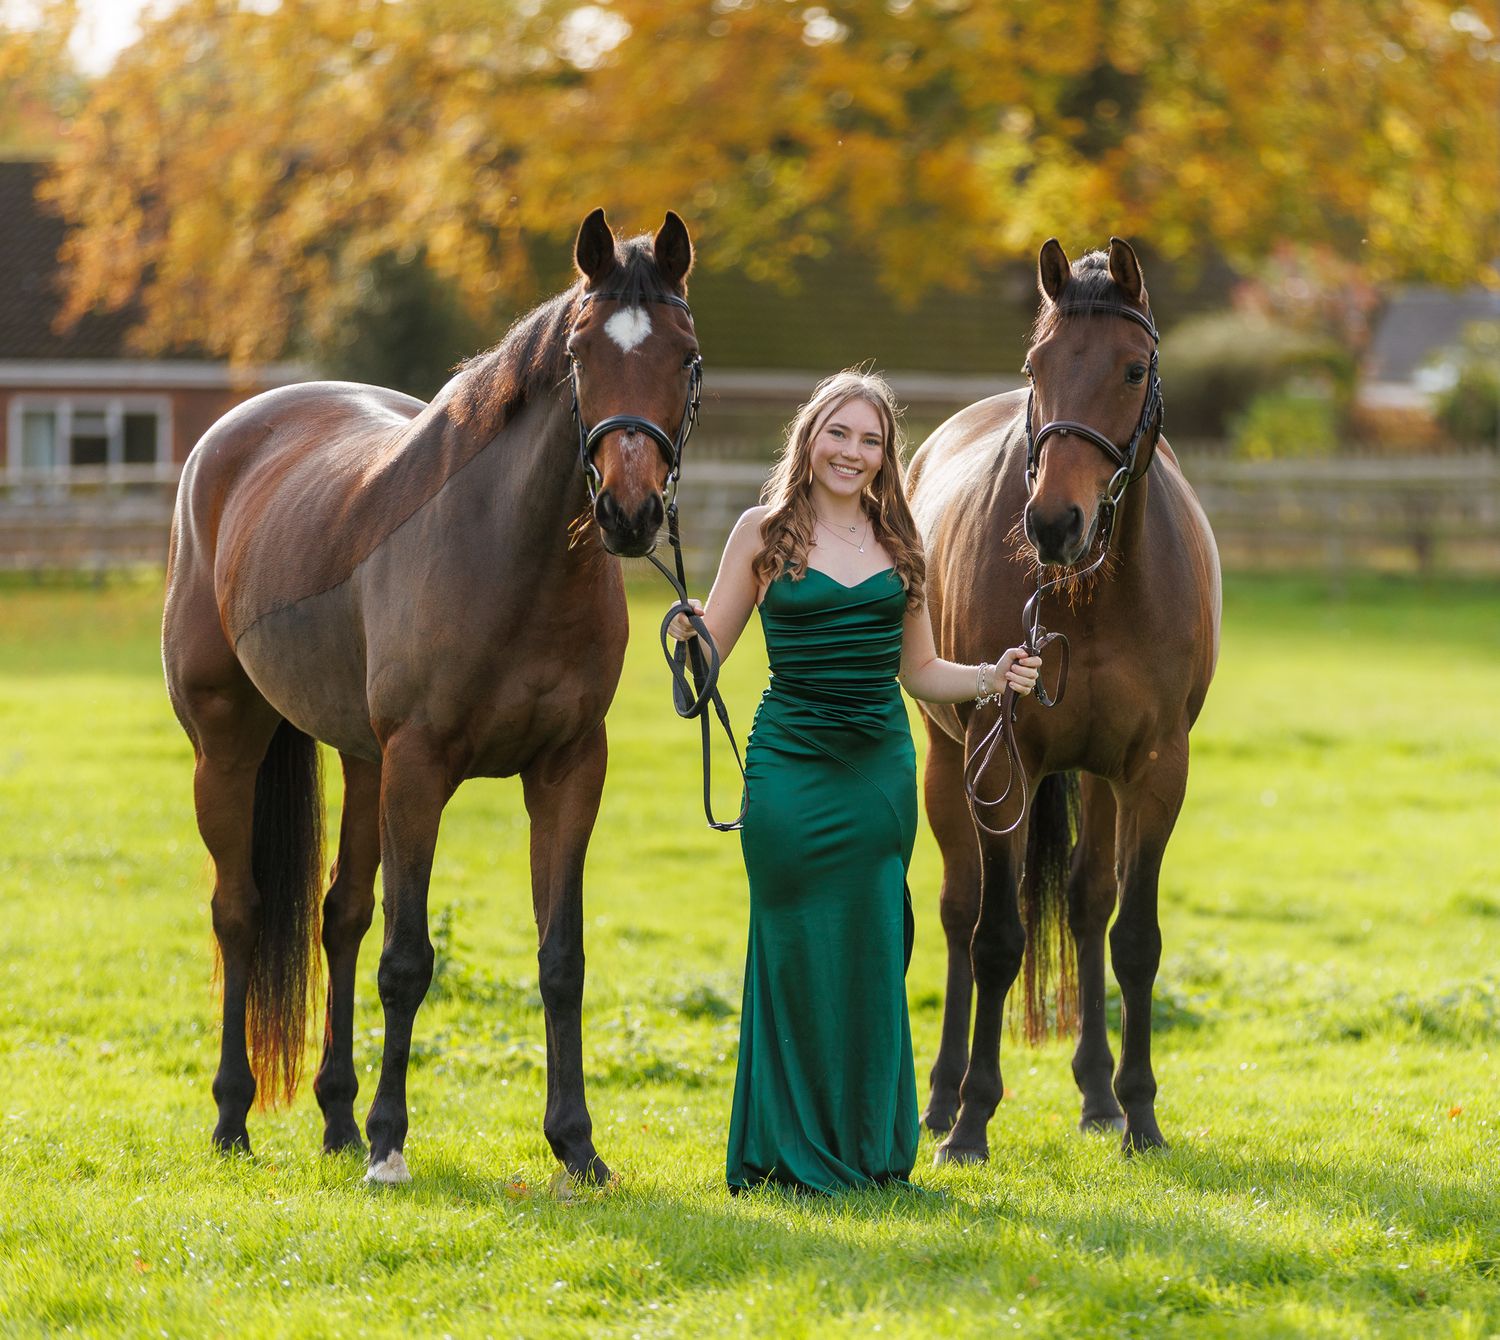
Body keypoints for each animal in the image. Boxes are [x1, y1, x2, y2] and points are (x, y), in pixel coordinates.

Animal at [162, 208, 701, 1185]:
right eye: (578, 352)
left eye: (683, 355)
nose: (630, 511)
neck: (512, 557)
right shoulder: (419, 768)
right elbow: (407, 958)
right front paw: (390, 1143)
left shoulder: (568, 771)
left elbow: (560, 958)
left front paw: (576, 1145)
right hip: (228, 747)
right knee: (240, 913)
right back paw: (234, 1120)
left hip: (362, 762)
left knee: (339, 918)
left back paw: (336, 1121)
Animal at [906, 237, 1221, 1162]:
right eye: (1037, 365)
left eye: (1133, 368)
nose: (1054, 524)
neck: (1092, 594)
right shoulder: (1000, 762)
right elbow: (997, 938)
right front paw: (971, 1121)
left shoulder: (1153, 772)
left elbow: (1134, 938)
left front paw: (1140, 1112)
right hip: (949, 766)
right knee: (961, 912)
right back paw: (940, 1097)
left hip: (1093, 778)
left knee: (1086, 906)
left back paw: (1098, 1096)